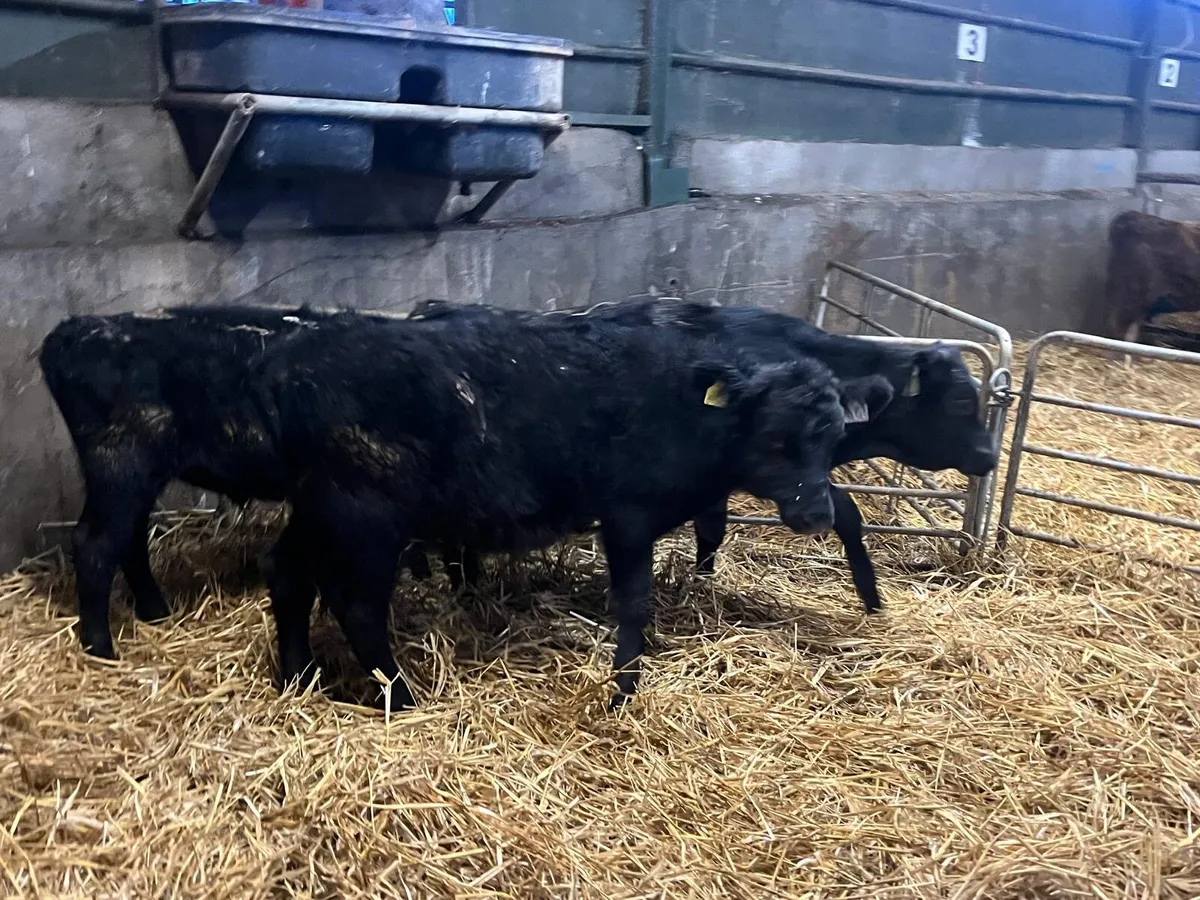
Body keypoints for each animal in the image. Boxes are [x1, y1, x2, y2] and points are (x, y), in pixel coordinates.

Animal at [253, 305, 896, 708]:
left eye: (834, 436)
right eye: (774, 437)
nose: (814, 515)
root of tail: (286, 368)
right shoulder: (628, 515)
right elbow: (634, 603)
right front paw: (622, 691)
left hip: (319, 509)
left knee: (287, 576)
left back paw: (298, 677)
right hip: (363, 516)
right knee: (356, 607)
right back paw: (401, 699)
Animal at [397, 298, 999, 616]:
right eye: (961, 400)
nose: (991, 455)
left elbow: (715, 529)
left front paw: (701, 579)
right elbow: (842, 514)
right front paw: (871, 596)